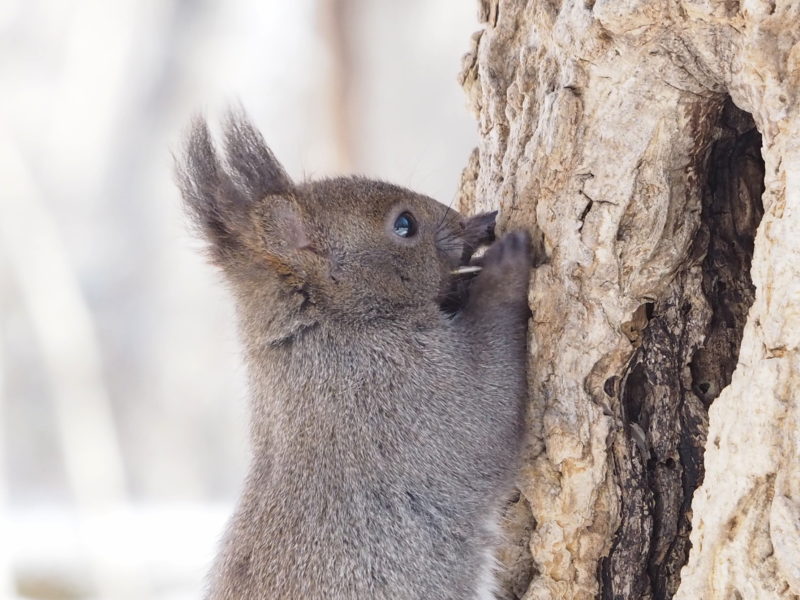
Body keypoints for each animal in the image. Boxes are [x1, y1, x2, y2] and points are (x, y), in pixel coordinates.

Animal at [178, 111, 536, 600]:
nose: (484, 224)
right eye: (404, 225)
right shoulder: (401, 394)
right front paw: (505, 263)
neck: (335, 322)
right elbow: (487, 407)